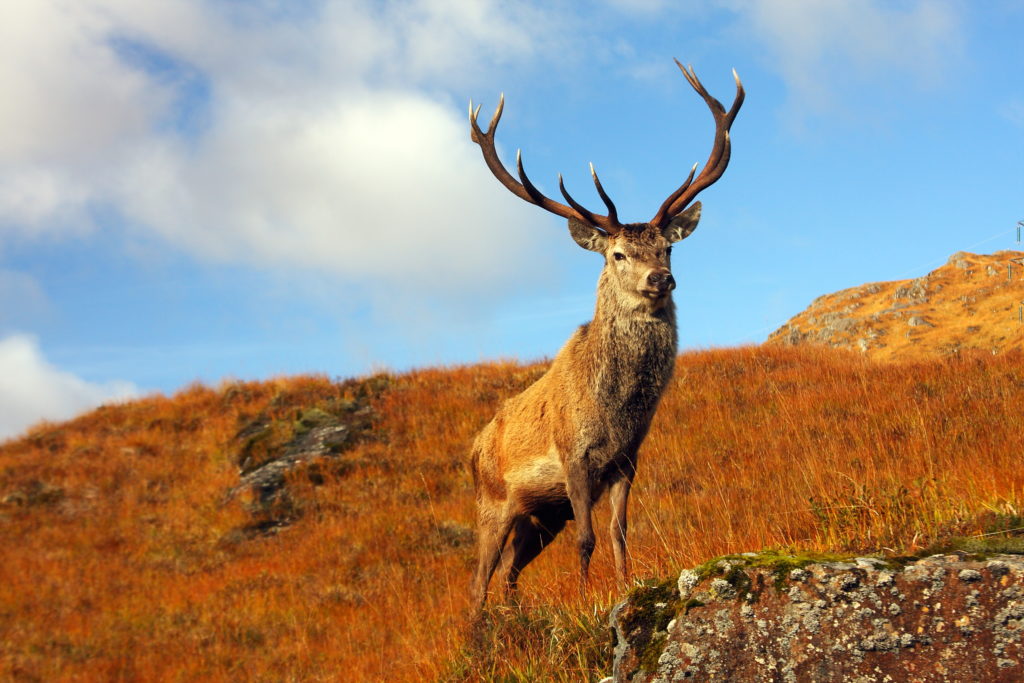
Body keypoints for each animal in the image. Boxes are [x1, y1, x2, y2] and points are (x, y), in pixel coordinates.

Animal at [467, 60, 743, 610]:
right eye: (617, 254)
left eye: (667, 247)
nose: (661, 279)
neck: (616, 414)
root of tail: (471, 449)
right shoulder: (575, 459)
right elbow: (587, 537)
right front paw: (583, 599)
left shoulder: (626, 461)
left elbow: (619, 532)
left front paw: (624, 588)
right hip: (494, 502)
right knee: (479, 576)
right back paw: (478, 625)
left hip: (539, 515)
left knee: (509, 569)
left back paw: (510, 616)